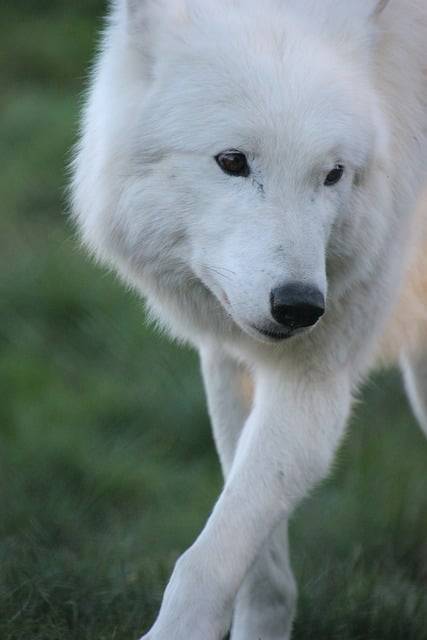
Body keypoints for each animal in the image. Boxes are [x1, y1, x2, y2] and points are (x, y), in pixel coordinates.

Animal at [72, 0, 426, 636]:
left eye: (333, 173)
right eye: (232, 161)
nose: (301, 306)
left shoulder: (315, 380)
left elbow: (204, 563)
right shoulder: (230, 361)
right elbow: (259, 567)